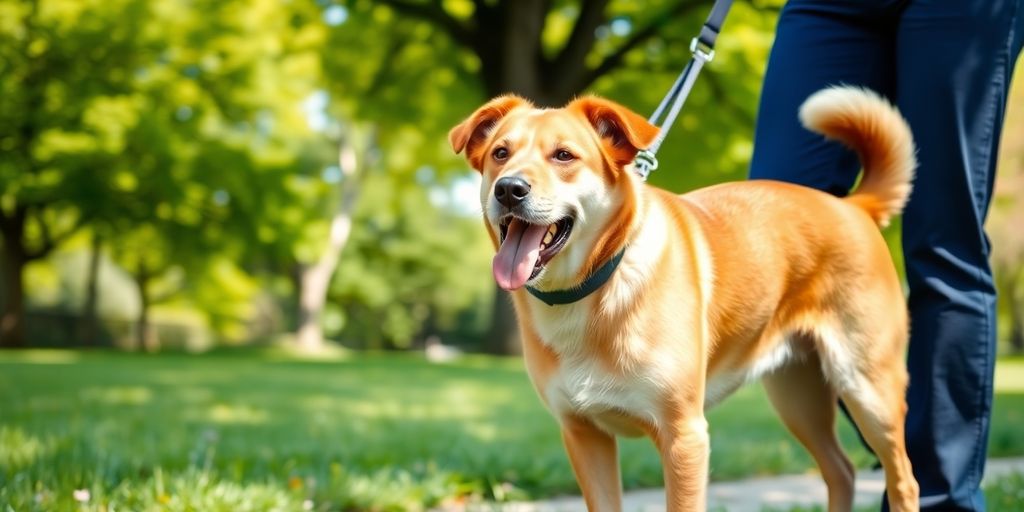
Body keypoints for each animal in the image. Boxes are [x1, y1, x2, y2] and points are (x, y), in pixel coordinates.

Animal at [448, 86, 921, 509]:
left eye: (564, 156)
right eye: (500, 153)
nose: (509, 188)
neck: (596, 287)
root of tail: (854, 207)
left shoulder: (684, 436)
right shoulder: (583, 433)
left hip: (867, 389)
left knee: (904, 480)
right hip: (797, 395)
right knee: (841, 470)